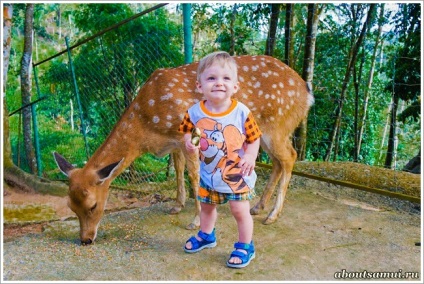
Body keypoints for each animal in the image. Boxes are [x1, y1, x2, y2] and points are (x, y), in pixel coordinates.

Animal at [53, 55, 314, 244]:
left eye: (93, 206)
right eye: (71, 207)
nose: (86, 239)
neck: (146, 123)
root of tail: (307, 93)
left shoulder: (189, 136)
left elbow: (194, 175)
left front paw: (196, 221)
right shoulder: (175, 141)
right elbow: (178, 170)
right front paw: (176, 206)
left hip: (278, 125)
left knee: (290, 157)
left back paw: (272, 215)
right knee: (278, 162)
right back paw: (258, 207)